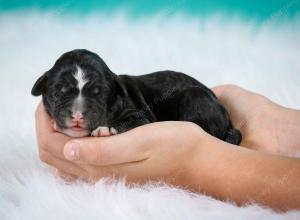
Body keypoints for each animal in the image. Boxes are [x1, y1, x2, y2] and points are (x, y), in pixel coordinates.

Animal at [31, 49, 241, 144]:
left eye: (100, 94)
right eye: (59, 92)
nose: (77, 115)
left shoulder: (142, 115)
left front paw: (105, 128)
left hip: (195, 96)